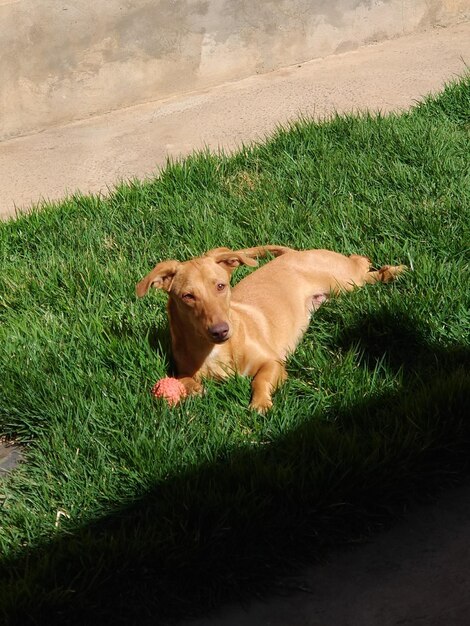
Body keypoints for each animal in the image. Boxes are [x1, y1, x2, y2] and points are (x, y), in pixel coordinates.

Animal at [135, 246, 404, 412]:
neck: (214, 351)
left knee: (360, 263)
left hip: (344, 282)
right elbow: (186, 380)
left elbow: (260, 380)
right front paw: (194, 389)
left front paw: (260, 404)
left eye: (221, 286)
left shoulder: (272, 363)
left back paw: (391, 272)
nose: (221, 330)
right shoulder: (183, 369)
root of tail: (294, 253)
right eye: (188, 296)